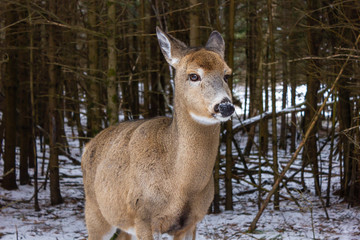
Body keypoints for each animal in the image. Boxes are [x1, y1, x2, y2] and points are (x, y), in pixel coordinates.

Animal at [80, 27, 235, 239]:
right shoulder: (142, 216)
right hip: (95, 210)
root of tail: (87, 146)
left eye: (227, 75)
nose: (225, 106)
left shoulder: (192, 222)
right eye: (193, 75)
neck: (181, 184)